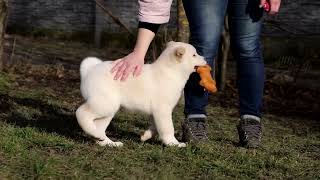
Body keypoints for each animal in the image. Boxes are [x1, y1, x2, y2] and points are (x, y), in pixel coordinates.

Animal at [77, 41, 208, 147]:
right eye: (194, 55)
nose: (205, 58)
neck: (171, 71)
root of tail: (90, 70)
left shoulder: (157, 112)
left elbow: (155, 126)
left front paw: (146, 136)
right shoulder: (163, 109)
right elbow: (167, 128)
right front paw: (173, 143)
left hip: (109, 108)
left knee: (99, 127)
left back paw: (107, 142)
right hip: (104, 104)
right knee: (81, 113)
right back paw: (95, 133)